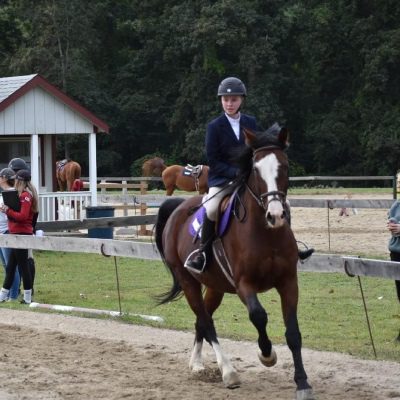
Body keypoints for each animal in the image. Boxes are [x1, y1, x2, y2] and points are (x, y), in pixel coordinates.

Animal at [155, 123, 314, 398]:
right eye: (256, 169)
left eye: (284, 166)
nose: (275, 215)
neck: (266, 233)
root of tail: (177, 208)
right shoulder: (244, 284)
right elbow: (259, 316)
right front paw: (267, 355)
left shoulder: (288, 282)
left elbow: (293, 333)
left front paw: (302, 383)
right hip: (188, 282)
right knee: (207, 322)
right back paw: (228, 372)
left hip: (215, 286)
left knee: (202, 320)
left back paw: (197, 364)